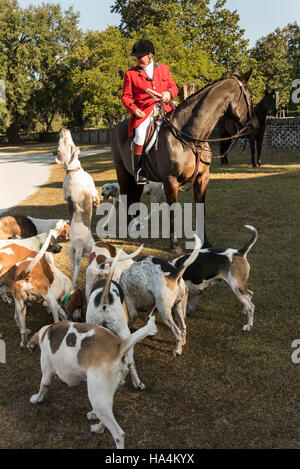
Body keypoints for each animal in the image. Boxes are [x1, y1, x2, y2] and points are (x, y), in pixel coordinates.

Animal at [111, 69, 256, 252]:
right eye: (250, 96)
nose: (253, 128)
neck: (190, 138)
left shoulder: (202, 178)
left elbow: (201, 208)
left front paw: (204, 242)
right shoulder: (170, 181)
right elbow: (173, 211)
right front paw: (174, 244)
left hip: (137, 179)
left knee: (134, 197)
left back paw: (136, 228)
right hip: (123, 172)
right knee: (126, 197)